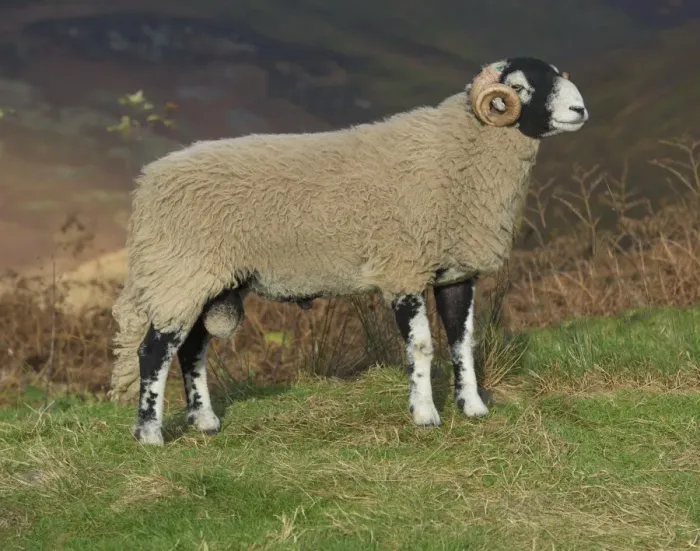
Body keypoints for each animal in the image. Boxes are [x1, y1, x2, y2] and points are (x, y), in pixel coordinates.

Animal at [109, 56, 589, 446]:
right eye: (521, 87)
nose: (580, 110)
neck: (459, 151)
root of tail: (147, 182)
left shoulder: (456, 272)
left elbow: (462, 341)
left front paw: (473, 407)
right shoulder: (403, 269)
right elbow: (421, 346)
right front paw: (424, 414)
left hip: (206, 283)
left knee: (190, 349)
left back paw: (204, 421)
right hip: (179, 272)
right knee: (153, 352)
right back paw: (150, 434)